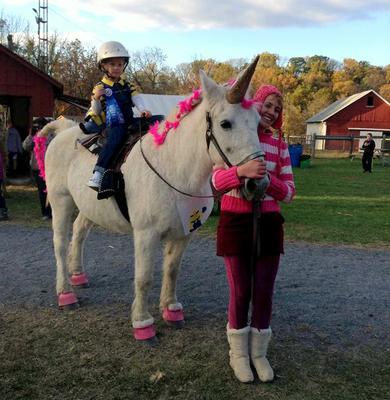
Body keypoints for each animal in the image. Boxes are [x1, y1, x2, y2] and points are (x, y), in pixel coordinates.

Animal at [38, 57, 262, 344]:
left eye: (257, 121)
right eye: (225, 124)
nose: (258, 181)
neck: (172, 166)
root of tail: (66, 130)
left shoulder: (184, 232)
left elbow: (172, 270)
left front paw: (171, 309)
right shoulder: (146, 234)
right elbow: (144, 277)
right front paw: (142, 323)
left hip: (88, 208)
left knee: (78, 234)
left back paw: (78, 275)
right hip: (61, 202)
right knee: (60, 244)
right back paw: (66, 293)